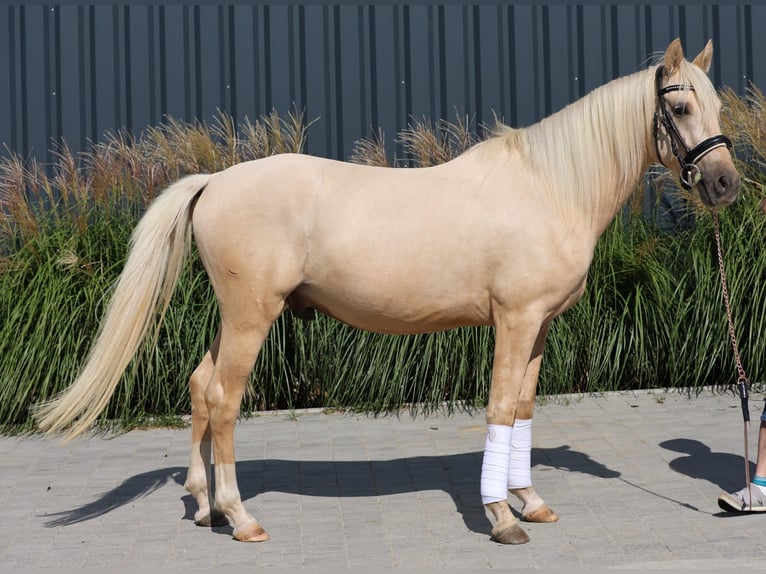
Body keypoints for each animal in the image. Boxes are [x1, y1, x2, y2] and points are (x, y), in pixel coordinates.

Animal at [34, 38, 736, 548]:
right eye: (679, 109)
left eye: (720, 108)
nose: (726, 184)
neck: (550, 185)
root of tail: (214, 181)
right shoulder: (514, 320)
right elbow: (499, 407)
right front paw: (501, 518)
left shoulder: (539, 326)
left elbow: (524, 408)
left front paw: (531, 502)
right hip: (250, 317)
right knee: (222, 399)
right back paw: (241, 519)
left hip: (233, 318)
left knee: (199, 387)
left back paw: (206, 507)